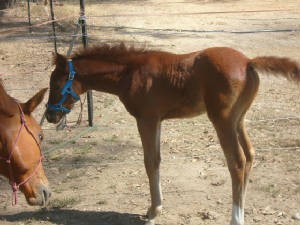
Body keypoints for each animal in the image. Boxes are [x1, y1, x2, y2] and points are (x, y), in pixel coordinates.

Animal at [45, 44, 300, 225]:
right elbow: (157, 160)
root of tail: (248, 62)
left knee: (237, 162)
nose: (49, 115)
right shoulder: (157, 120)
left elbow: (149, 162)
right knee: (250, 155)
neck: (130, 73)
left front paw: (153, 212)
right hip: (239, 119)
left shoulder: (146, 119)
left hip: (223, 120)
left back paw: (236, 219)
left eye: (56, 85)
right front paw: (156, 207)